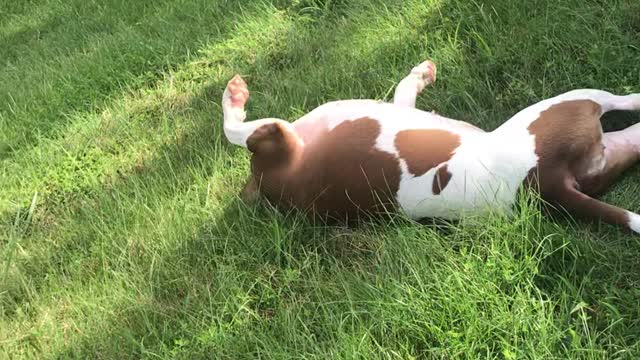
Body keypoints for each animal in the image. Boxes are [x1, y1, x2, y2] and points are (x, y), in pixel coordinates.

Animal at [221, 59, 640, 233]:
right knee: (239, 132)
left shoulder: (403, 107)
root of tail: (549, 184)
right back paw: (234, 97)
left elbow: (405, 89)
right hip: (571, 102)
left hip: (615, 149)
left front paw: (421, 75)